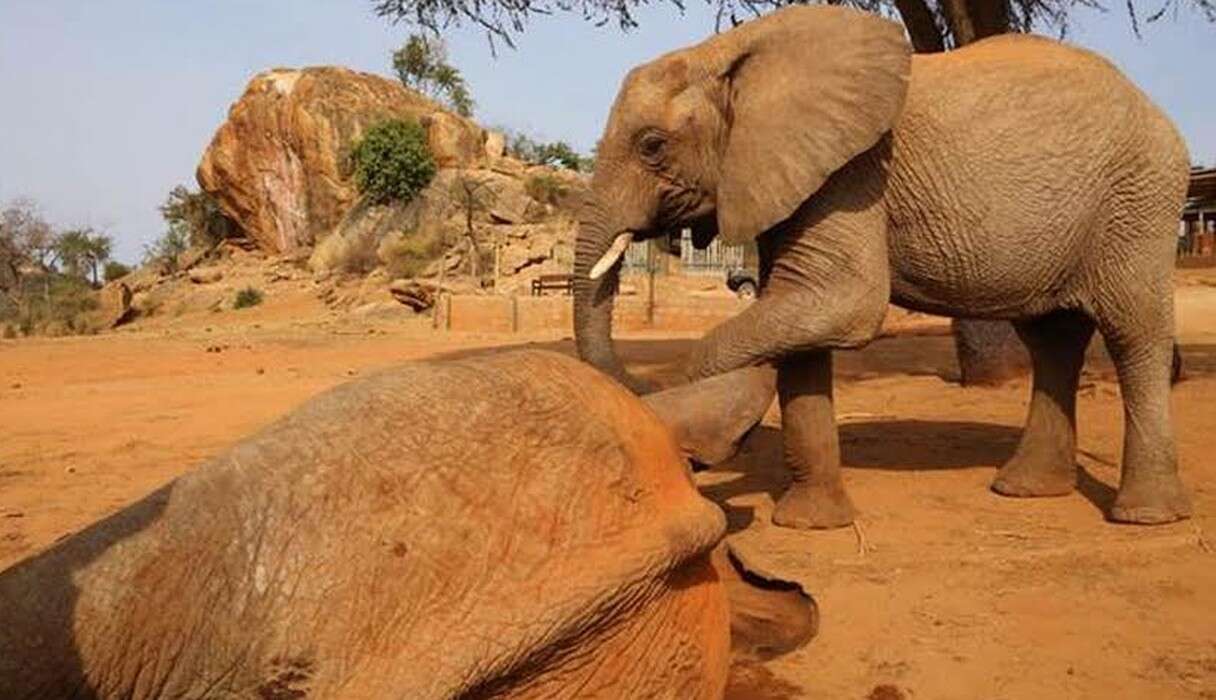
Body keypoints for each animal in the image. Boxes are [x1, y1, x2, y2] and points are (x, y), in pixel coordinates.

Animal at [572, 5, 1192, 528]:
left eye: (653, 145)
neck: (725, 51)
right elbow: (801, 318)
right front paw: (810, 525)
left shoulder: (852, 173)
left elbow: (840, 302)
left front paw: (704, 441)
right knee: (1053, 340)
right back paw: (1026, 489)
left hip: (1138, 200)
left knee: (1134, 333)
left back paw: (1144, 517)